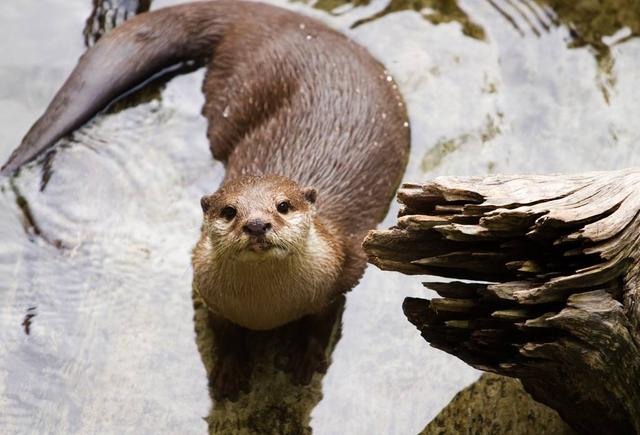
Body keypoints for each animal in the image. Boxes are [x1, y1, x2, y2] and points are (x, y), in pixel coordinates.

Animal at [1, 0, 410, 400]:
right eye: (230, 211)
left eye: (283, 205)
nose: (257, 224)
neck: (266, 308)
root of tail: (263, 16)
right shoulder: (210, 294)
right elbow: (223, 335)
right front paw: (229, 372)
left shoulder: (343, 270)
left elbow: (321, 325)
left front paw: (306, 358)